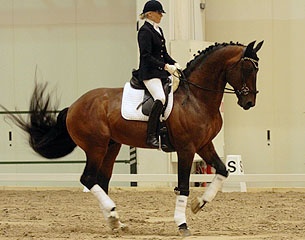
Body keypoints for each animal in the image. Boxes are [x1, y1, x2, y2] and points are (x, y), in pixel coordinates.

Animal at [1, 40, 262, 235]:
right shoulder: (186, 148)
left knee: (101, 181)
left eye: (257, 69)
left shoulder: (204, 144)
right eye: (248, 69)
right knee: (88, 179)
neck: (196, 97)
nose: (249, 102)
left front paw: (200, 204)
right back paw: (114, 217)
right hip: (95, 147)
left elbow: (223, 171)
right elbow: (183, 186)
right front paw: (182, 224)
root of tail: (74, 105)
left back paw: (115, 221)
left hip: (111, 147)